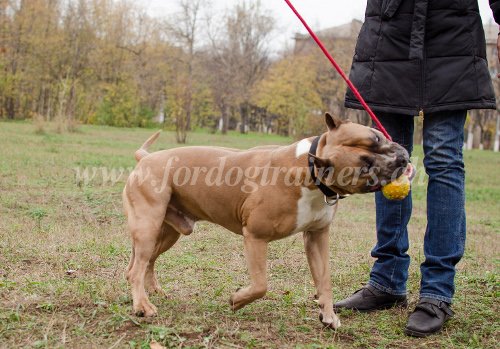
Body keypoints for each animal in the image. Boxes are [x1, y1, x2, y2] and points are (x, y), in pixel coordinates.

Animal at [123, 113, 408, 328]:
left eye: (376, 137)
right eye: (364, 168)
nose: (402, 159)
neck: (309, 169)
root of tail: (145, 157)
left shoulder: (317, 238)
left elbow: (324, 280)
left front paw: (328, 316)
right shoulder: (255, 237)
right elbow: (261, 285)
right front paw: (237, 299)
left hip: (167, 232)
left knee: (143, 263)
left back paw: (153, 292)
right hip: (148, 226)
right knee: (138, 268)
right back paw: (143, 306)